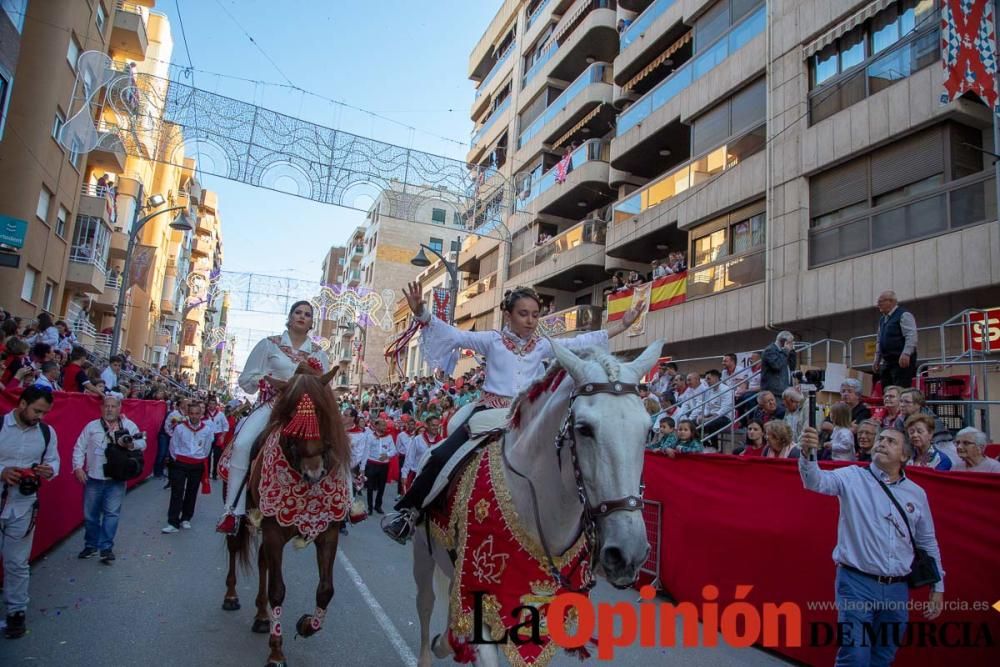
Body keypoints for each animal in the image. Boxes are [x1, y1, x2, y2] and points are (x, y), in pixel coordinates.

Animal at [223, 370, 352, 667]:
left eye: (322, 410)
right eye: (291, 414)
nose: (314, 472)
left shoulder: (328, 532)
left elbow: (326, 590)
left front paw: (306, 625)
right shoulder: (274, 531)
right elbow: (278, 590)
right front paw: (276, 652)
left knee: (261, 560)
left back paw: (261, 616)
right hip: (241, 512)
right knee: (234, 545)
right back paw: (232, 597)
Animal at [410, 342, 660, 664]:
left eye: (648, 431)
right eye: (584, 428)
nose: (628, 554)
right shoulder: (478, 593)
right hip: (422, 550)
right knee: (425, 603)